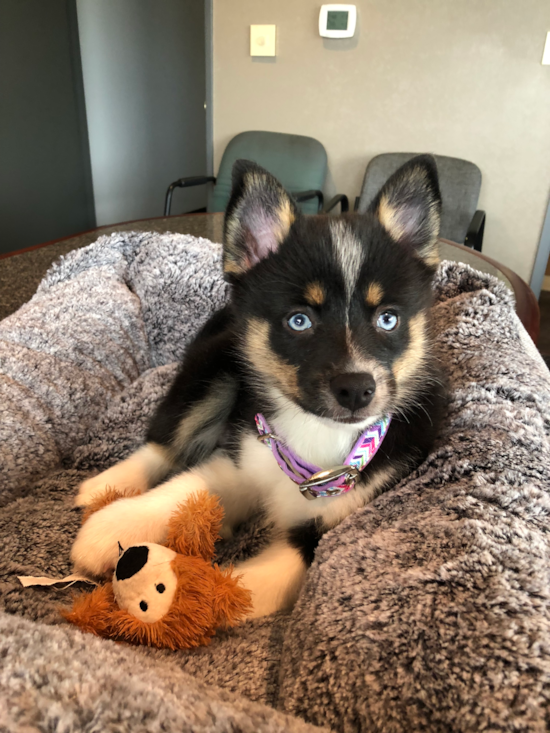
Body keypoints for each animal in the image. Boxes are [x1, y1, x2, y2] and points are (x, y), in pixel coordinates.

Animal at [72, 154, 448, 616]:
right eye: (299, 320)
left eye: (388, 318)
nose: (357, 389)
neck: (315, 435)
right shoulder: (240, 460)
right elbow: (181, 490)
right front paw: (111, 527)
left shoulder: (323, 530)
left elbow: (241, 590)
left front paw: (179, 598)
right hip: (212, 368)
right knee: (166, 438)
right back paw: (107, 488)